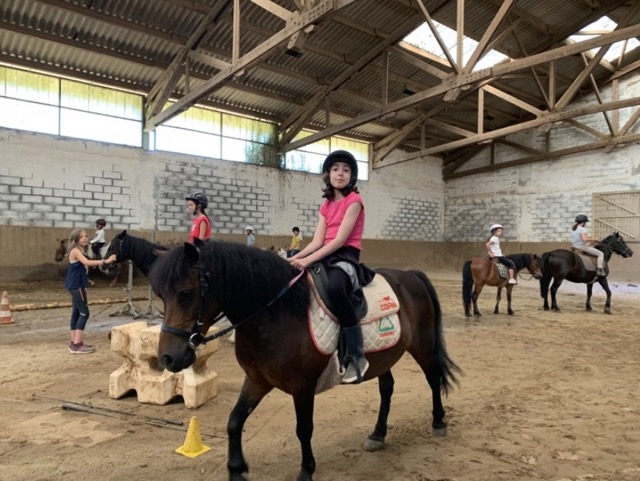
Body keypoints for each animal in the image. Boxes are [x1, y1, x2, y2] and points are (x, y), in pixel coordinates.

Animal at [150, 240, 460, 480]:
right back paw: (377, 435)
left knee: (433, 377)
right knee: (387, 387)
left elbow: (303, 428)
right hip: (385, 355)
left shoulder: (302, 386)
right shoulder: (257, 380)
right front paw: (236, 469)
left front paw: (306, 470)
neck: (277, 313)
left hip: (422, 345)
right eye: (161, 295)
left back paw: (438, 422)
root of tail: (412, 276)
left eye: (186, 293)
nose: (168, 357)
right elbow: (234, 421)